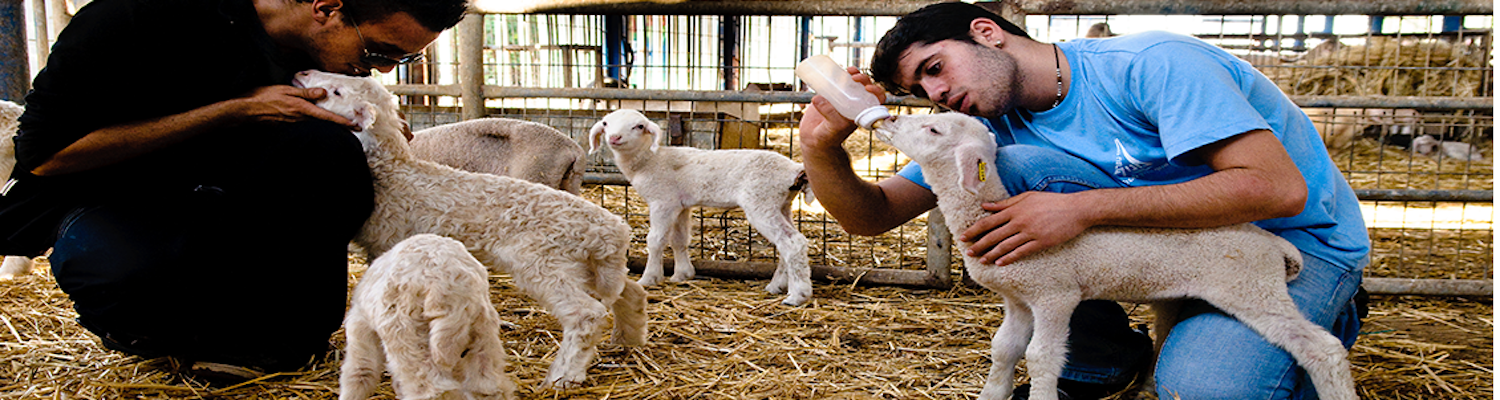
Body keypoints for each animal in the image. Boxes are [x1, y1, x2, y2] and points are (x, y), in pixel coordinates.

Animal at [343, 235, 519, 400]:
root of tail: (451, 292)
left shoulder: (360, 325)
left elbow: (360, 371)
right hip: (482, 330)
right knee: (489, 386)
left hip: (408, 333)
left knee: (429, 389)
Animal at [591, 110, 816, 307]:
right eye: (605, 123)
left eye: (639, 126)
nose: (615, 137)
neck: (650, 161)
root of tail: (793, 170)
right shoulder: (680, 205)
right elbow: (679, 240)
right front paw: (682, 274)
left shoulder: (662, 201)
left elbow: (656, 241)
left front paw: (649, 278)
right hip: (781, 204)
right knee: (787, 242)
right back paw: (776, 286)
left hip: (760, 201)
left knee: (792, 242)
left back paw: (797, 295)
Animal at [876, 113, 1362, 400]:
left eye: (934, 130)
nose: (888, 119)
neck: (988, 211)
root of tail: (1274, 245)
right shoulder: (1018, 298)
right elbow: (1004, 349)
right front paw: (992, 395)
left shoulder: (1055, 294)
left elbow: (1041, 356)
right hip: (1186, 292)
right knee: (1163, 338)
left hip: (1251, 286)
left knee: (1323, 348)